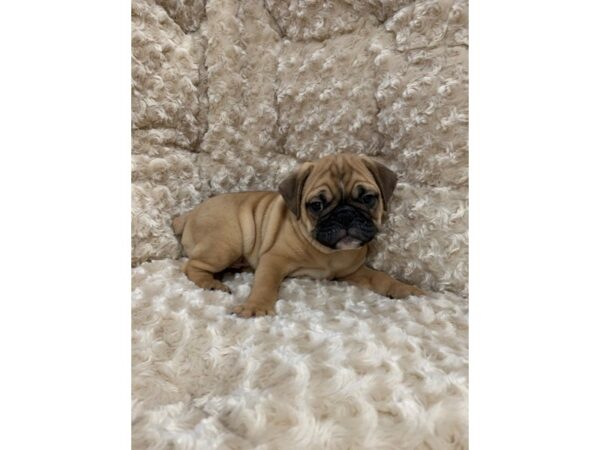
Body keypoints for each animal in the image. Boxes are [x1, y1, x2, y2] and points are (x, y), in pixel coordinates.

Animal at [172, 153, 426, 318]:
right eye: (316, 205)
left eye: (367, 198)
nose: (345, 215)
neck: (327, 252)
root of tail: (189, 215)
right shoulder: (273, 260)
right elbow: (265, 284)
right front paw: (256, 307)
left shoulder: (353, 271)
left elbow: (379, 277)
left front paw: (404, 289)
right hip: (225, 245)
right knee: (191, 266)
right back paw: (211, 284)